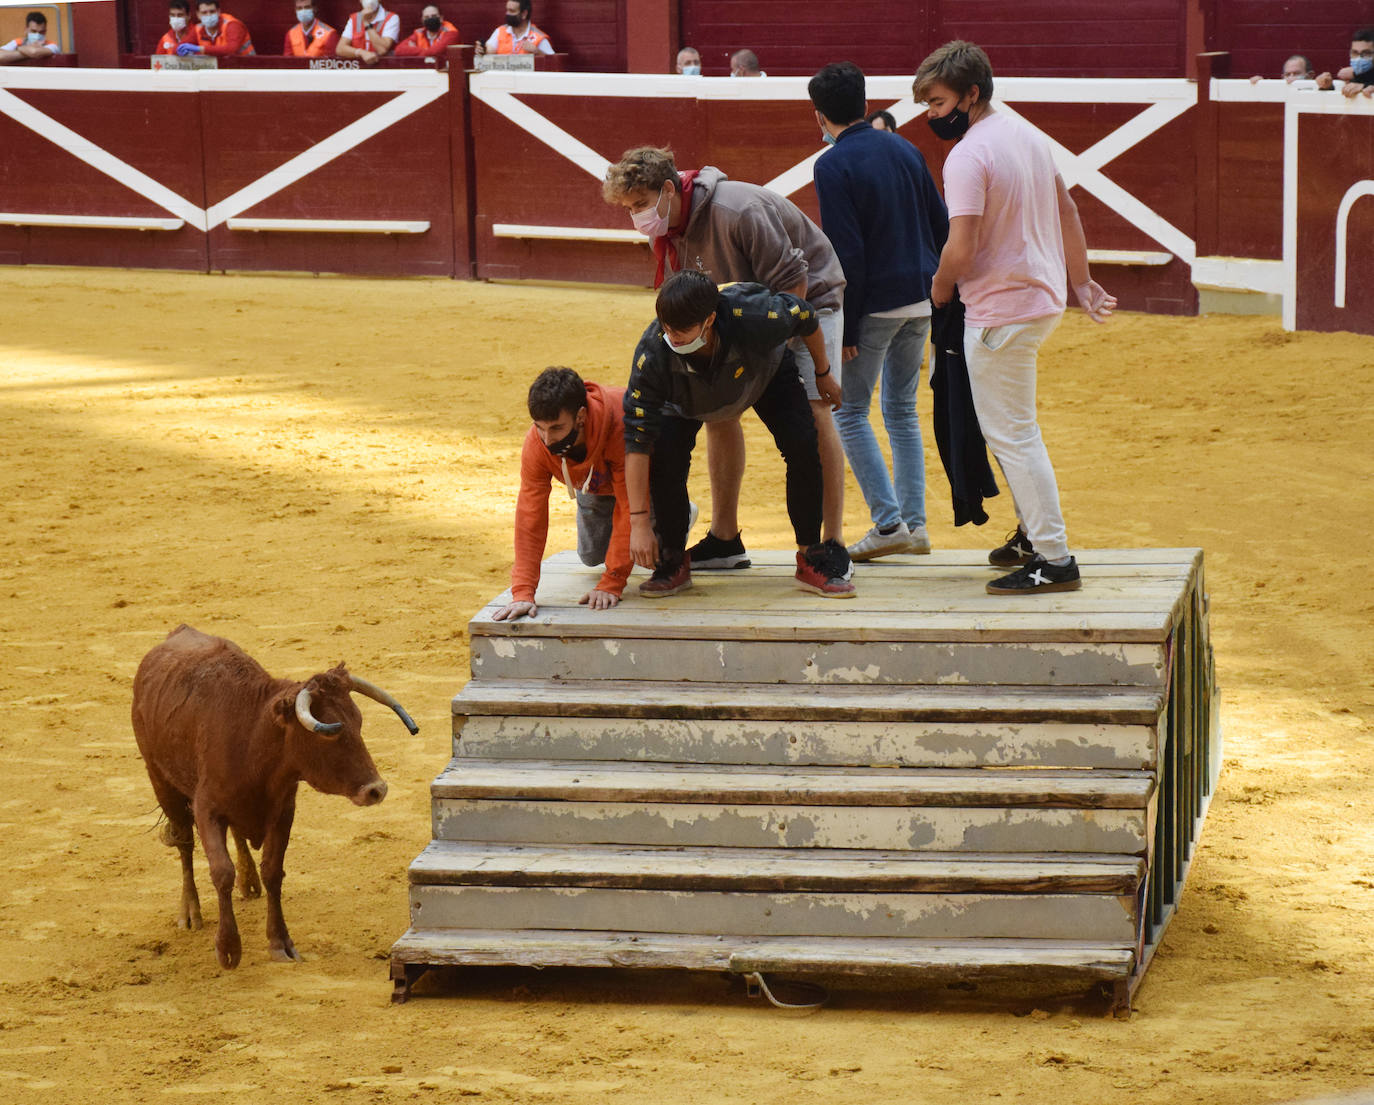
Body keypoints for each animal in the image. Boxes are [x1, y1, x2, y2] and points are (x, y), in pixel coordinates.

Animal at [131, 626, 414, 973]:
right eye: (332, 735)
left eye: (359, 723)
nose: (377, 789)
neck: (253, 736)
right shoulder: (206, 809)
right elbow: (221, 872)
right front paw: (228, 948)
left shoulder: (282, 812)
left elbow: (273, 872)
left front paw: (280, 942)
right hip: (160, 779)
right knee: (184, 843)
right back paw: (190, 912)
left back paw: (248, 882)